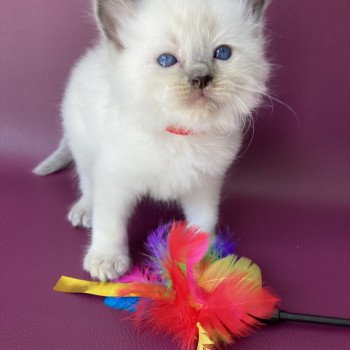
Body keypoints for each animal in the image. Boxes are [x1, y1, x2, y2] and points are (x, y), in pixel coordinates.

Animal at [34, 0, 270, 280]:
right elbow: (109, 224)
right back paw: (84, 210)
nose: (200, 78)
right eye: (166, 60)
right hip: (82, 146)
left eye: (222, 53)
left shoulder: (205, 183)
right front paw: (106, 260)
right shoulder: (113, 180)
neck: (178, 134)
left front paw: (203, 258)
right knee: (87, 184)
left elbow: (203, 221)